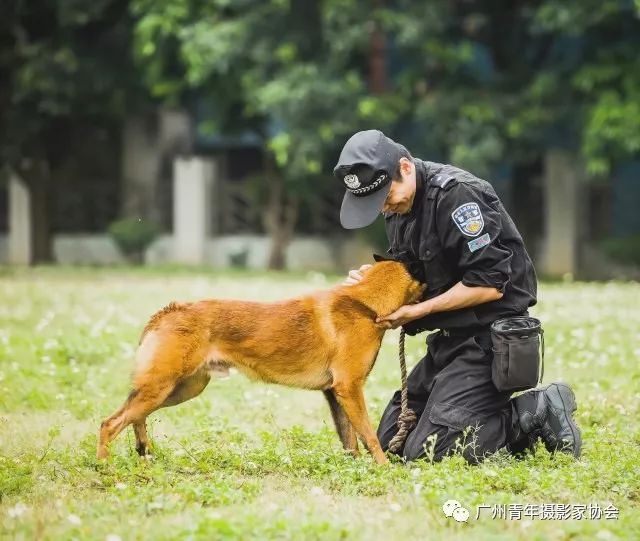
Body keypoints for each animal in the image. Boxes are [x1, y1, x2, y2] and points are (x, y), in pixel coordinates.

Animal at [96, 260, 424, 462]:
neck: (364, 303)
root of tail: (169, 311)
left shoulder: (336, 393)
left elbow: (350, 440)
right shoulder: (350, 389)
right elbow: (369, 436)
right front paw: (383, 468)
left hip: (179, 390)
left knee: (135, 417)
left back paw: (144, 455)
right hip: (163, 387)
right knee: (110, 423)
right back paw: (105, 466)